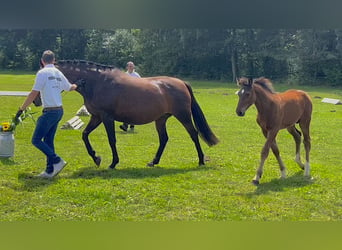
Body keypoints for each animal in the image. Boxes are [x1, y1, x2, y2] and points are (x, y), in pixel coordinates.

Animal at [54, 60, 218, 169]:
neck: (97, 83)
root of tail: (182, 82)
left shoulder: (107, 118)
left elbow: (111, 140)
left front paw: (113, 163)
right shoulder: (97, 117)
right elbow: (85, 135)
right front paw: (96, 158)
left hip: (183, 116)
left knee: (194, 134)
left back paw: (201, 160)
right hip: (160, 119)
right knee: (164, 139)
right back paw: (153, 161)